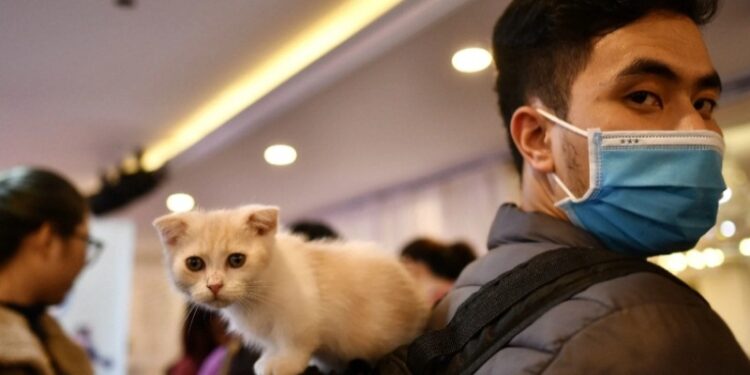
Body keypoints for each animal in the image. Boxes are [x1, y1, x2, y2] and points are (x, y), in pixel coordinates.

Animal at [153, 206, 432, 375]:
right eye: (194, 264)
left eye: (236, 260)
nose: (214, 285)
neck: (254, 298)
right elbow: (273, 343)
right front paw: (270, 358)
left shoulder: (301, 314)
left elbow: (295, 341)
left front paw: (283, 363)